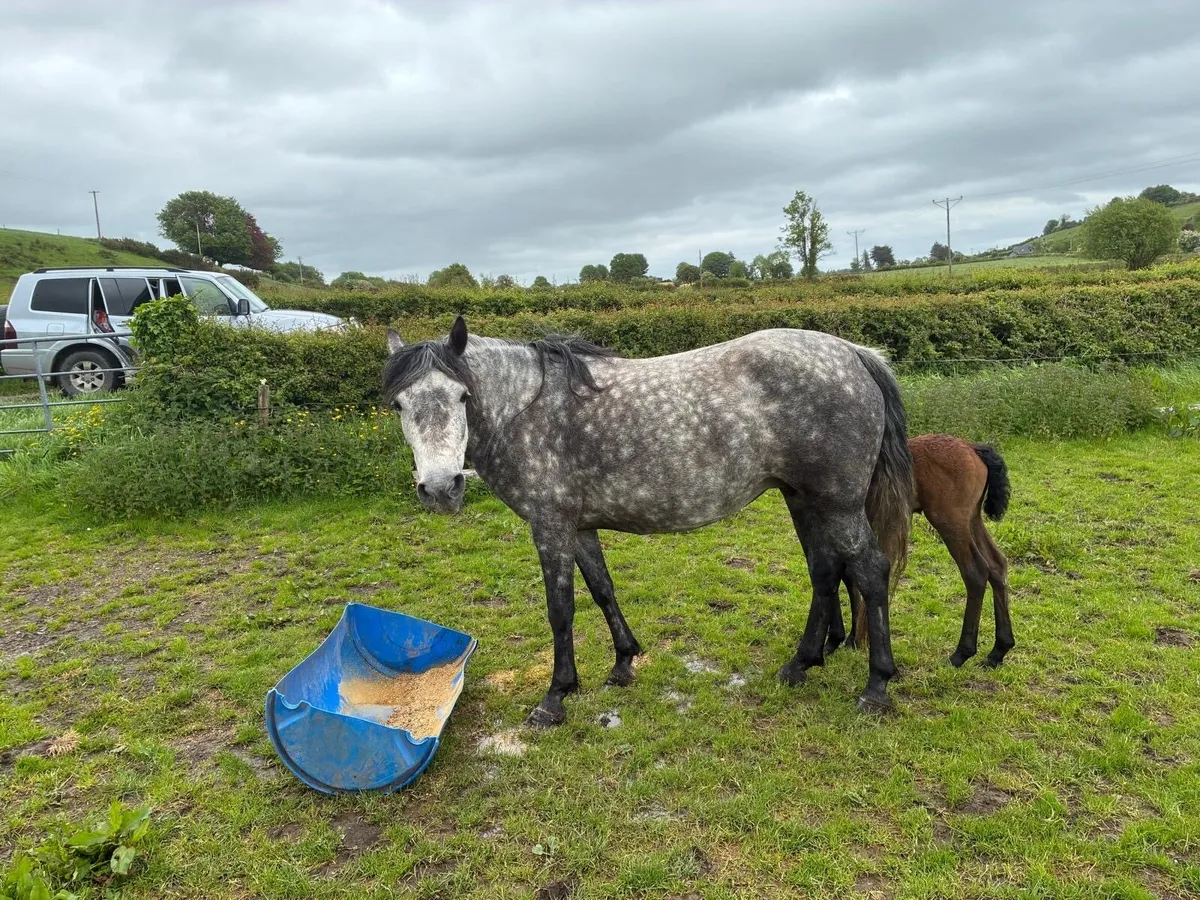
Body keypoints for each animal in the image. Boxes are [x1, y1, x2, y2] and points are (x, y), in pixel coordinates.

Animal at [382, 316, 914, 727]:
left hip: (838, 506)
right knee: (825, 573)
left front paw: (555, 697)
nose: (441, 489)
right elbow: (602, 589)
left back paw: (876, 687)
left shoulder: (550, 526)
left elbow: (561, 610)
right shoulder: (578, 526)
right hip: (805, 500)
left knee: (870, 572)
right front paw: (623, 663)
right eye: (399, 404)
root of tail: (854, 354)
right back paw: (800, 664)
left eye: (462, 396)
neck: (527, 409)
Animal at [833, 433, 1014, 668]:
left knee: (975, 573)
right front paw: (852, 638)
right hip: (971, 519)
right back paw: (998, 651)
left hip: (950, 521)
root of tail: (972, 448)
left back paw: (961, 653)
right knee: (997, 564)